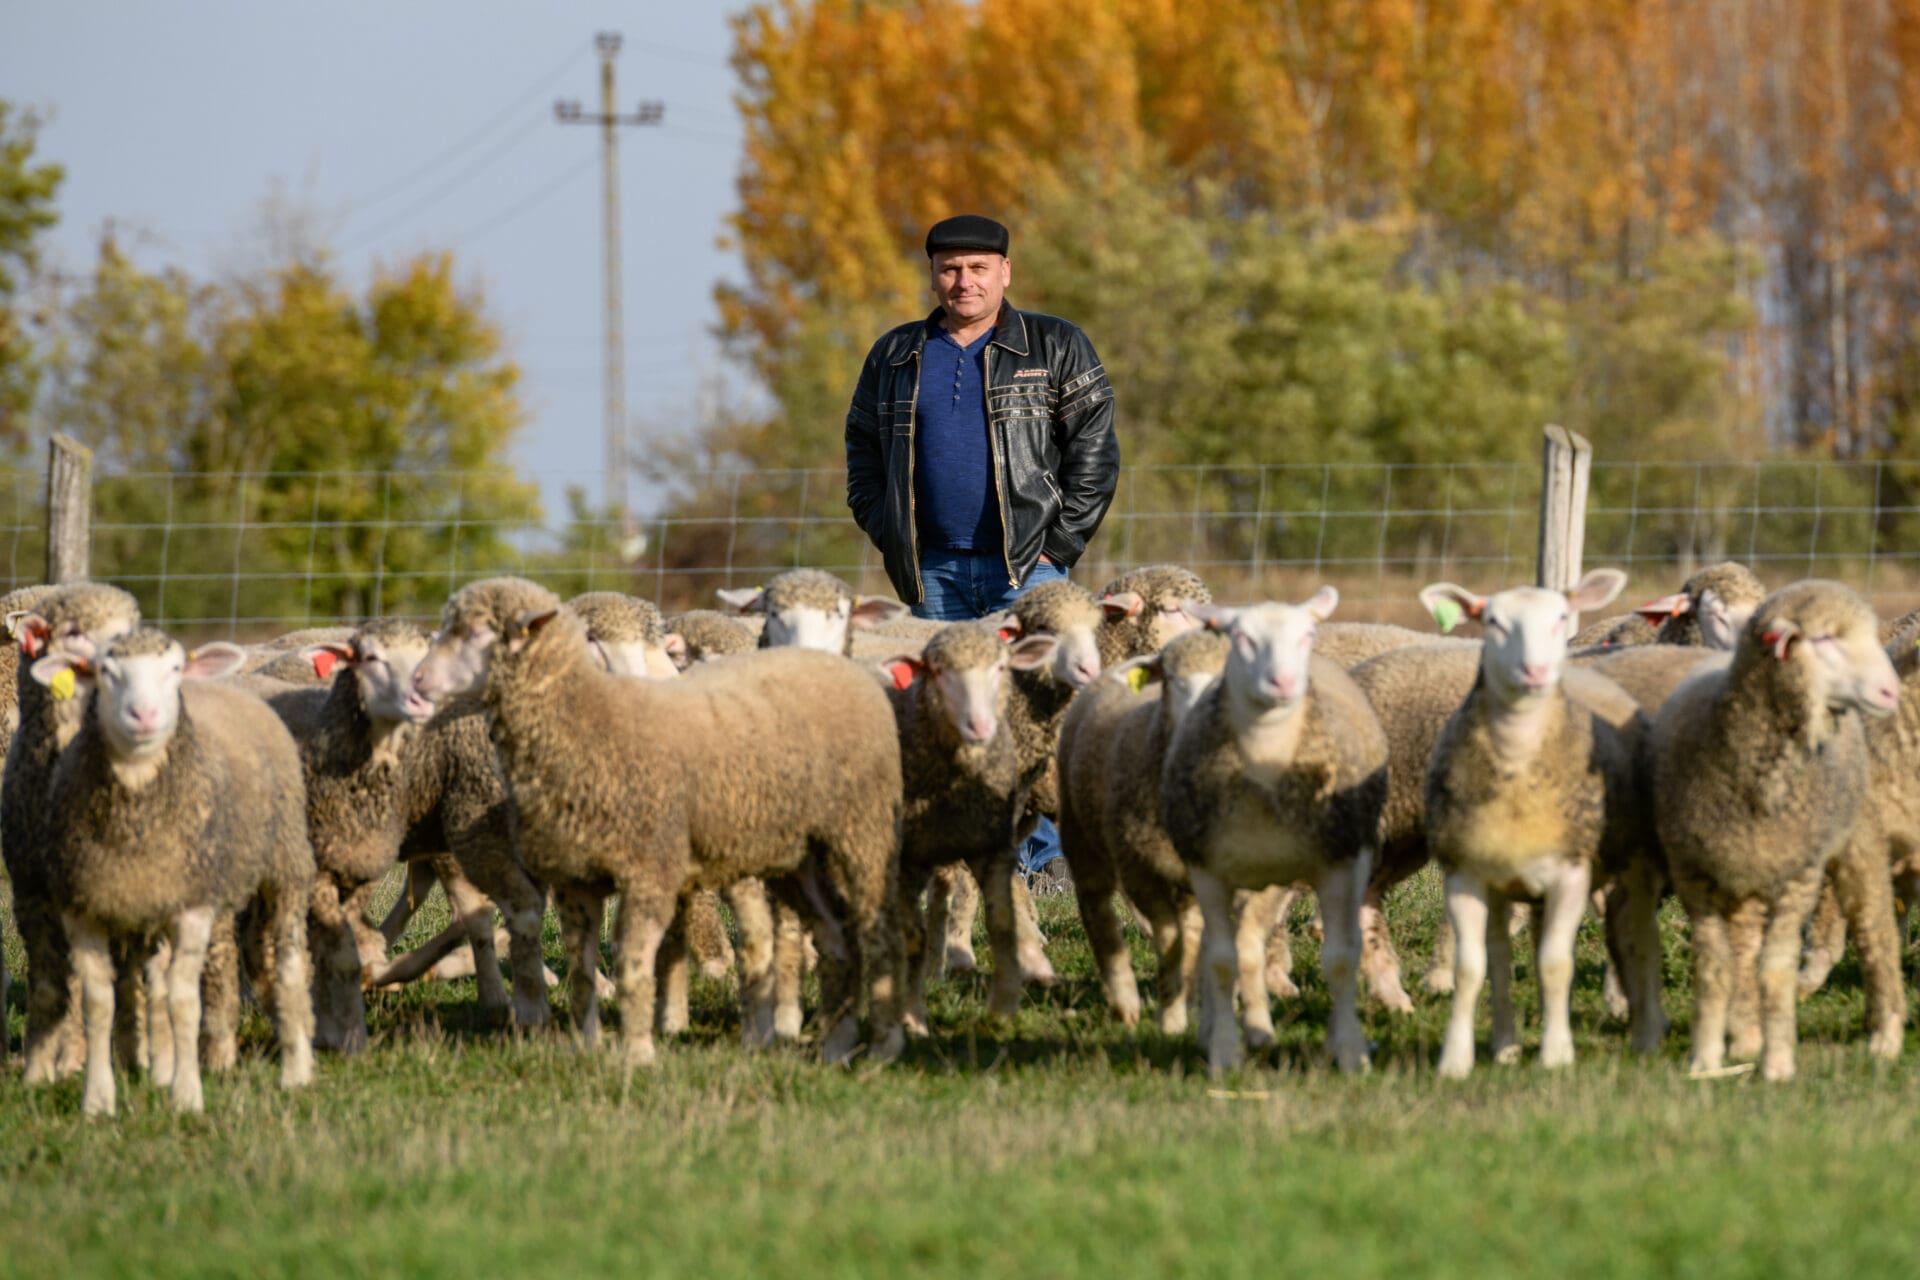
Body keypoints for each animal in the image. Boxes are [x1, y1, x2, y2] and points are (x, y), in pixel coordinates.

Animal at [31, 637, 314, 1113]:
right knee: (155, 986)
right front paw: (98, 1100)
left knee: (289, 967)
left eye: (175, 668)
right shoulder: (83, 908)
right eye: (105, 671)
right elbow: (99, 1004)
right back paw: (161, 1069)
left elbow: (184, 1003)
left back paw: (297, 1071)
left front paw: (187, 1096)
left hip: (285, 864)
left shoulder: (194, 909)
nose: (143, 715)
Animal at [1643, 583, 1896, 1082]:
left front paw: (1777, 1065)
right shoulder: (1694, 873)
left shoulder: (1798, 876)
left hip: (1852, 839)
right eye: (1824, 639)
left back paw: (1887, 1035)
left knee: (1874, 926)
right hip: (1745, 873)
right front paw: (1704, 1060)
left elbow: (1776, 969)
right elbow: (1714, 967)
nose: (1890, 690)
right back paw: (1744, 1035)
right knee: (1743, 950)